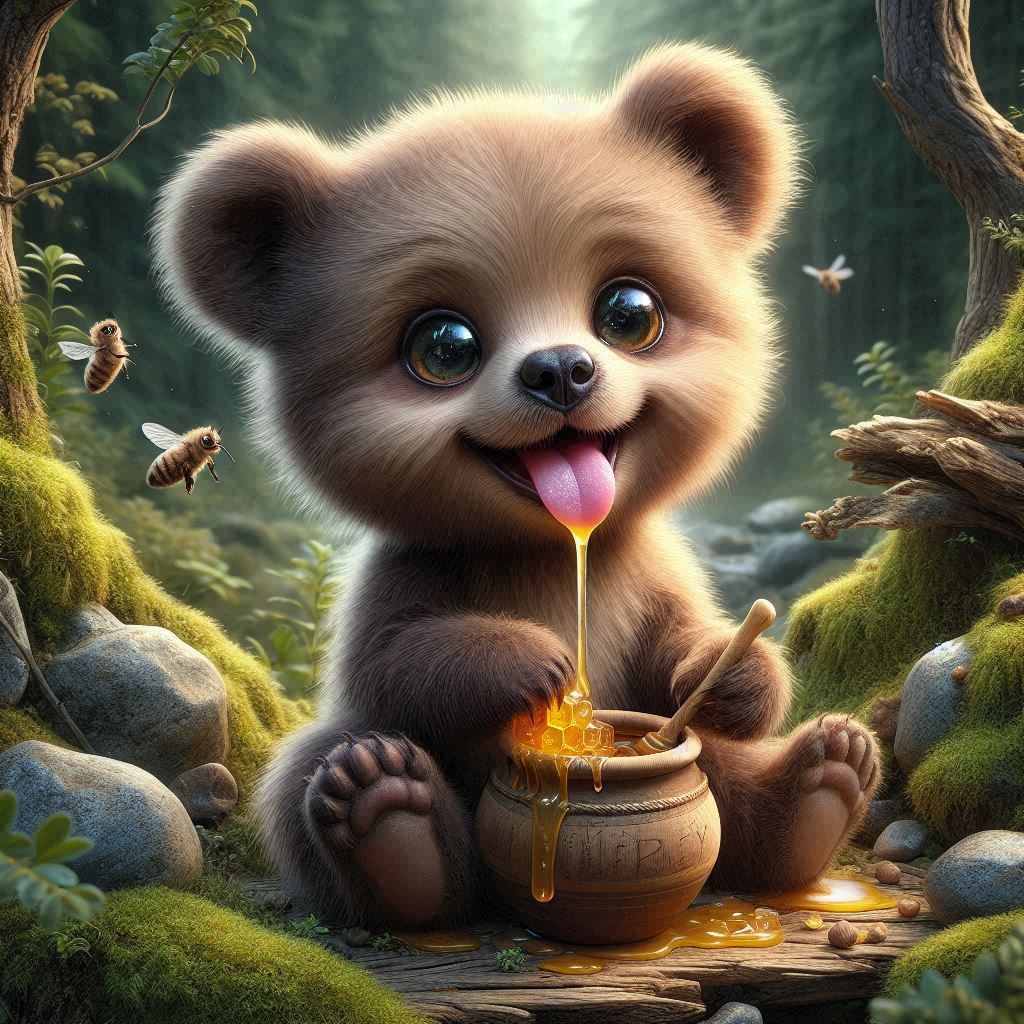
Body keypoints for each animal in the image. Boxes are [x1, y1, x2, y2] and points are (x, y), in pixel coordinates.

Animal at [154, 43, 881, 932]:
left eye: (630, 311)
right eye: (443, 345)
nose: (560, 369)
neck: (553, 545)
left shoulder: (646, 567)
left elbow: (683, 647)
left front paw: (732, 671)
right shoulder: (413, 568)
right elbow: (398, 662)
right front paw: (534, 661)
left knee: (731, 775)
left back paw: (821, 784)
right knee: (326, 772)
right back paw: (389, 821)